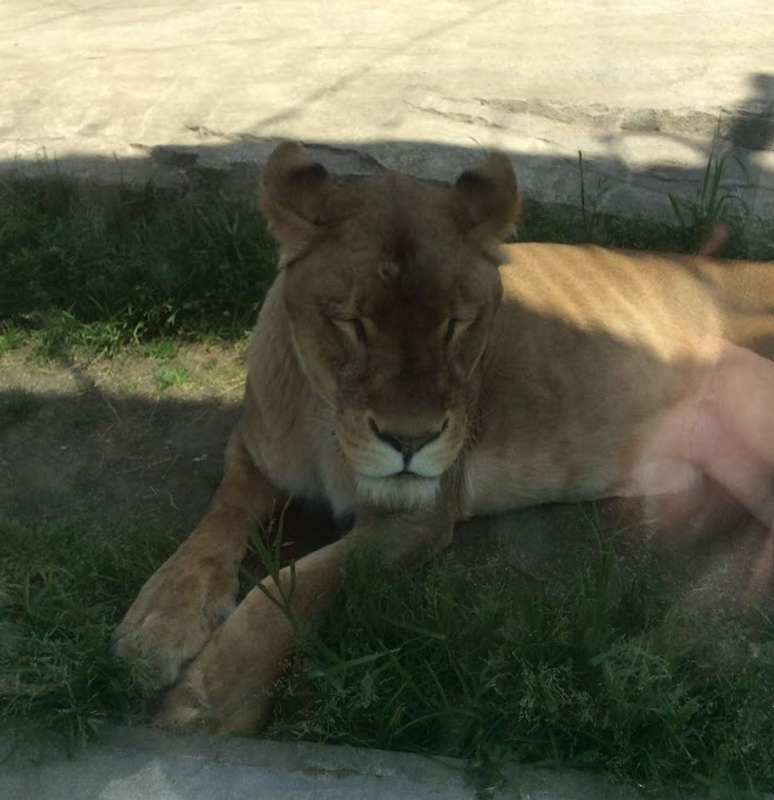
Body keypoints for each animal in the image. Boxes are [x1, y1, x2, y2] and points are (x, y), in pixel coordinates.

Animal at [115, 140, 774, 734]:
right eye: (352, 323)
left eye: (458, 324)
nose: (410, 442)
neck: (322, 424)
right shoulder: (253, 450)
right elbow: (214, 525)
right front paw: (157, 622)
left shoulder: (418, 514)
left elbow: (296, 585)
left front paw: (209, 697)